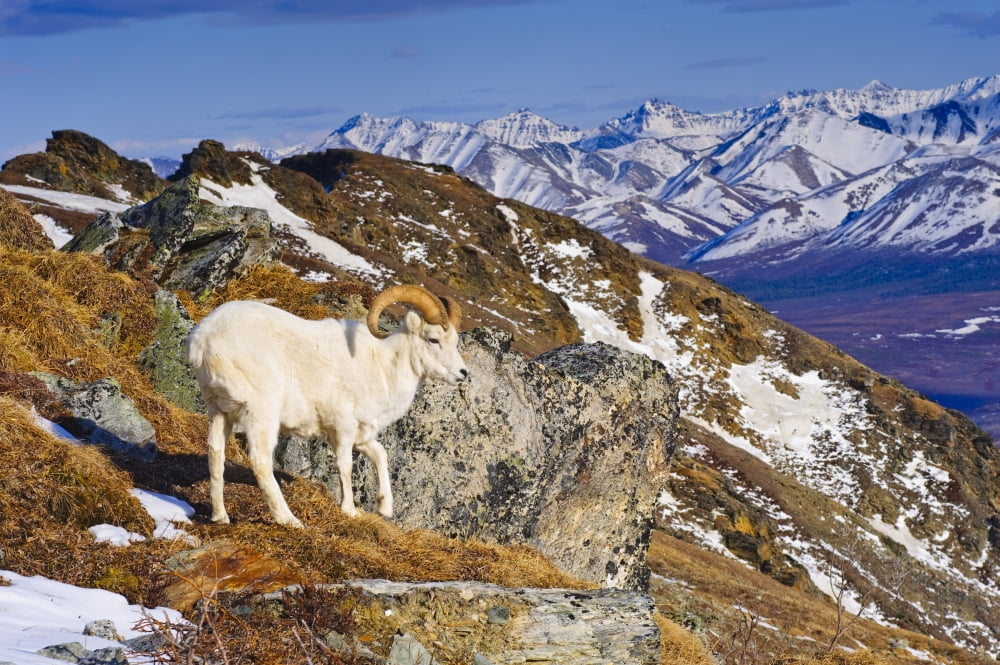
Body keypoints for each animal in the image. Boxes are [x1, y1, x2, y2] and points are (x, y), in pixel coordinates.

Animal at [186, 284, 468, 527]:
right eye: (433, 339)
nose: (463, 373)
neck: (382, 366)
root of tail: (203, 341)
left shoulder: (359, 434)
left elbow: (380, 454)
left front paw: (384, 507)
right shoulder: (343, 428)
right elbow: (346, 466)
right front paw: (350, 511)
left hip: (219, 411)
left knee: (215, 453)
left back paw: (220, 516)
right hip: (261, 412)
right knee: (260, 460)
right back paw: (290, 520)